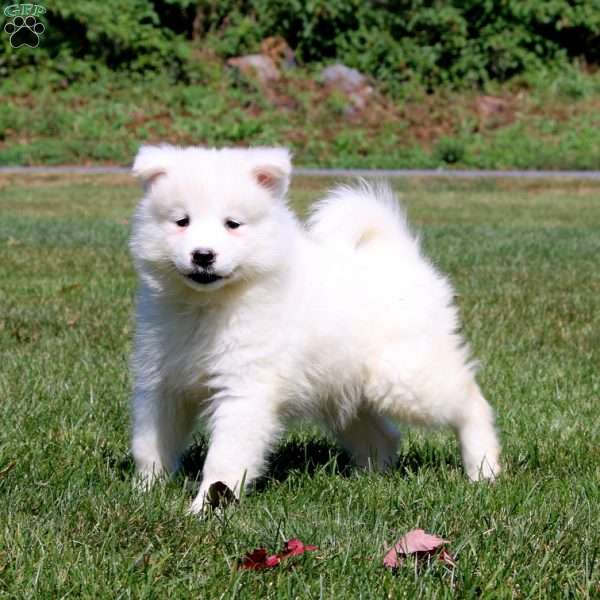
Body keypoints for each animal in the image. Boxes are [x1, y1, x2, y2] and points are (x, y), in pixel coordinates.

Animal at [130, 144, 502, 510]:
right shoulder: (164, 383)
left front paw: (206, 506)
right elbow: (151, 444)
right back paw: (369, 480)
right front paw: (146, 491)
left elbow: (225, 455)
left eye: (232, 224)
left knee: (470, 402)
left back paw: (483, 470)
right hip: (341, 388)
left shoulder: (245, 387)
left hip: (403, 377)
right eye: (181, 221)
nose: (203, 255)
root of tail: (400, 255)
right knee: (383, 435)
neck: (207, 305)